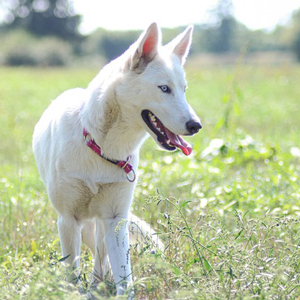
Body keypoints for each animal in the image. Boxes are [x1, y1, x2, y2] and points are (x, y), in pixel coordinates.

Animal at [32, 22, 202, 298]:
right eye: (164, 88)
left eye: (184, 90)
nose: (196, 126)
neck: (101, 147)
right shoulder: (68, 220)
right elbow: (72, 275)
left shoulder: (114, 218)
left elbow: (124, 275)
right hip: (85, 226)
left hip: (103, 222)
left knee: (101, 258)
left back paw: (99, 283)